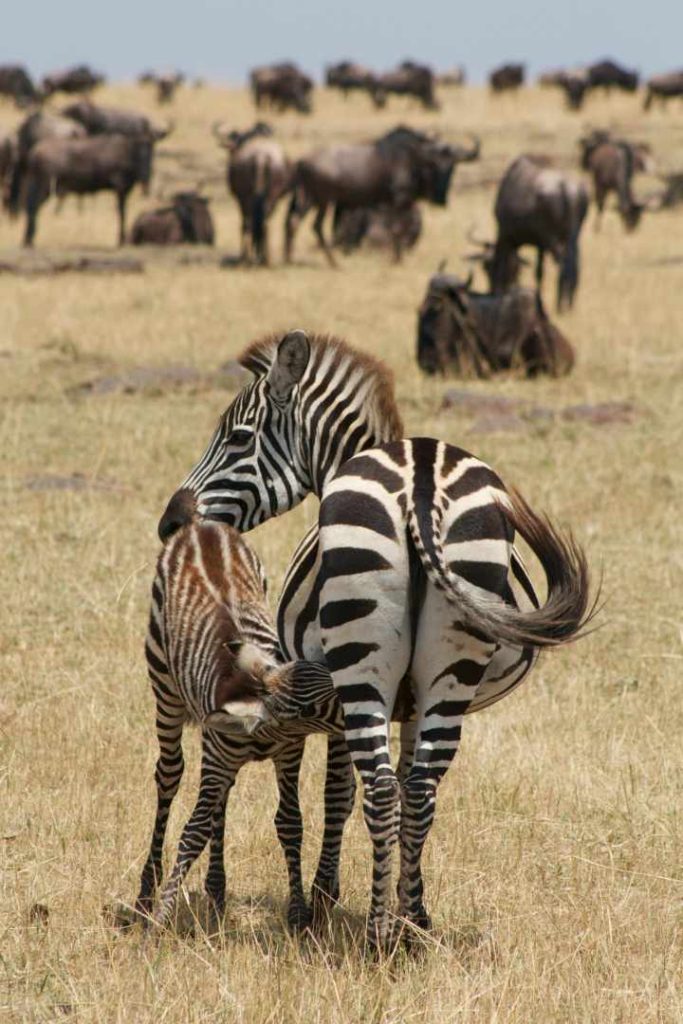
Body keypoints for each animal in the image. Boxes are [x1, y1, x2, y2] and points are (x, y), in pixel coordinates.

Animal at [136, 518, 344, 930]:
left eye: (324, 670)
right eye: (310, 708)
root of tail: (201, 526)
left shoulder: (287, 754)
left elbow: (290, 822)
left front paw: (298, 913)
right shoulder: (218, 756)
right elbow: (194, 831)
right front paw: (160, 917)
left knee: (221, 799)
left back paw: (216, 891)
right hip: (164, 689)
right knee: (169, 775)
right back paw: (146, 892)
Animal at [158, 329, 594, 948]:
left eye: (238, 437)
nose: (170, 522)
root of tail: (421, 480)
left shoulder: (339, 697)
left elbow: (339, 794)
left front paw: (326, 898)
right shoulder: (409, 698)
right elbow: (412, 785)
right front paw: (413, 907)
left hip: (362, 664)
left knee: (383, 790)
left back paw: (377, 934)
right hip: (452, 660)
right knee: (420, 788)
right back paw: (406, 931)